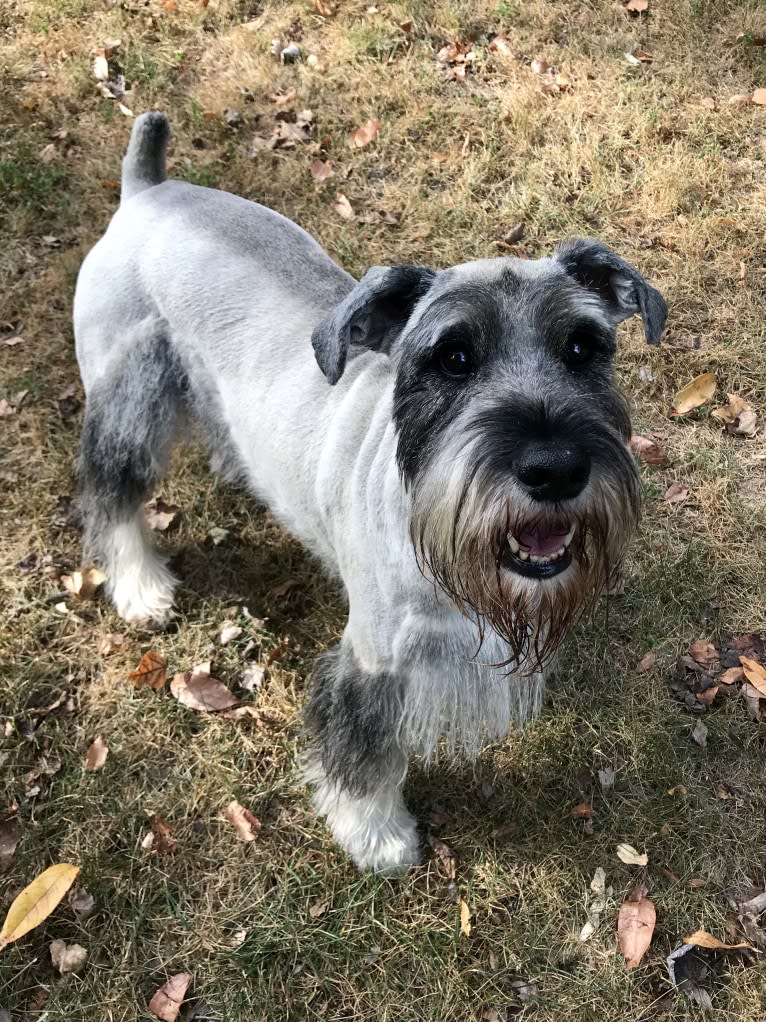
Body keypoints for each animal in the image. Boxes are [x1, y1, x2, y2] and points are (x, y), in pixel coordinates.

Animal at [75, 113, 669, 878]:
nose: (555, 468)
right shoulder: (375, 662)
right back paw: (141, 587)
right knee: (113, 495)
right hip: (127, 395)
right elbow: (364, 752)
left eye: (583, 347)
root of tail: (145, 191)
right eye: (453, 357)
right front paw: (377, 835)